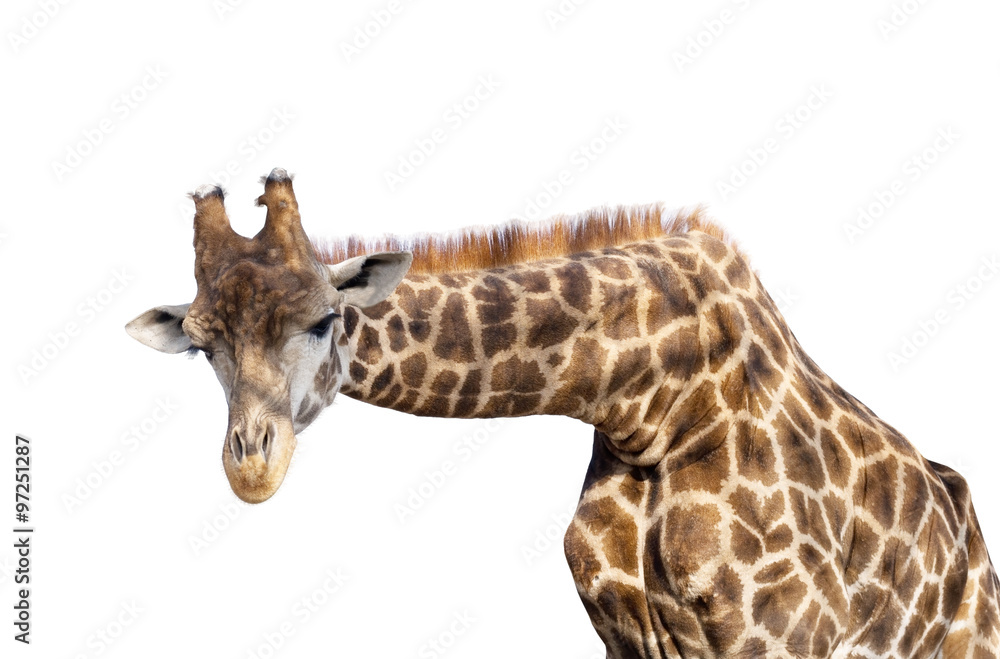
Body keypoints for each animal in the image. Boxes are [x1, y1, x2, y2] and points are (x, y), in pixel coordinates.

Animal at [127, 168, 1000, 657]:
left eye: (321, 320)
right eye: (201, 343)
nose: (252, 468)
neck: (649, 405)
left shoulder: (783, 633)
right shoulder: (628, 637)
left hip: (967, 640)